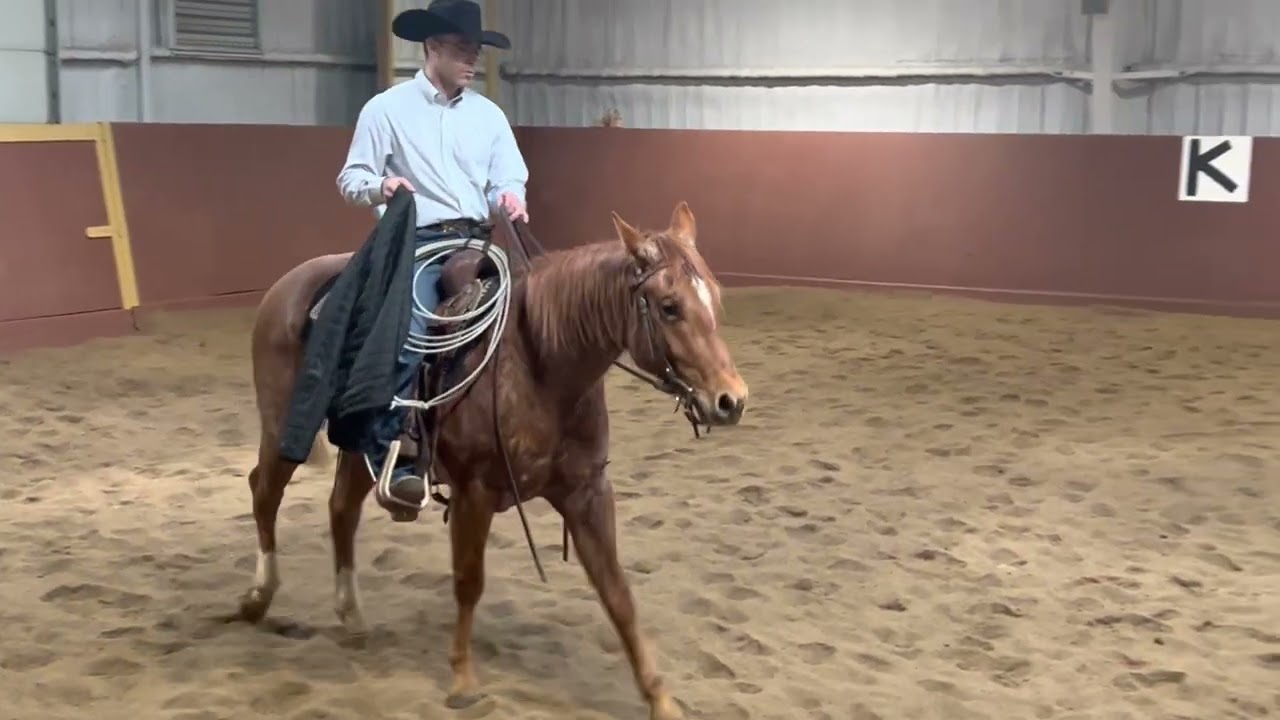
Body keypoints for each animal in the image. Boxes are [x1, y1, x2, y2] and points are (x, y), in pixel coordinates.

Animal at [236, 199, 748, 720]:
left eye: (716, 297)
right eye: (669, 307)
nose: (731, 401)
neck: (541, 363)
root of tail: (288, 285)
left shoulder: (586, 493)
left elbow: (618, 594)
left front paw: (660, 699)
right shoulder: (473, 493)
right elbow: (469, 581)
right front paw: (463, 679)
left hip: (361, 444)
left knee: (341, 508)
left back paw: (353, 615)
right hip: (283, 426)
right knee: (265, 492)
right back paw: (258, 597)